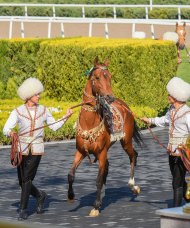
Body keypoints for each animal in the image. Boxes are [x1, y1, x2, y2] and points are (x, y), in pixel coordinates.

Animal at [67, 56, 143, 216]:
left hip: (125, 141)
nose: (109, 97)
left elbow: (98, 179)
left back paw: (133, 186)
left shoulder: (101, 152)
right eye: (97, 77)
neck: (89, 123)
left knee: (133, 155)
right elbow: (71, 174)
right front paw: (71, 196)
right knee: (108, 167)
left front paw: (95, 206)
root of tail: (125, 105)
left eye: (110, 76)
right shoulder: (81, 151)